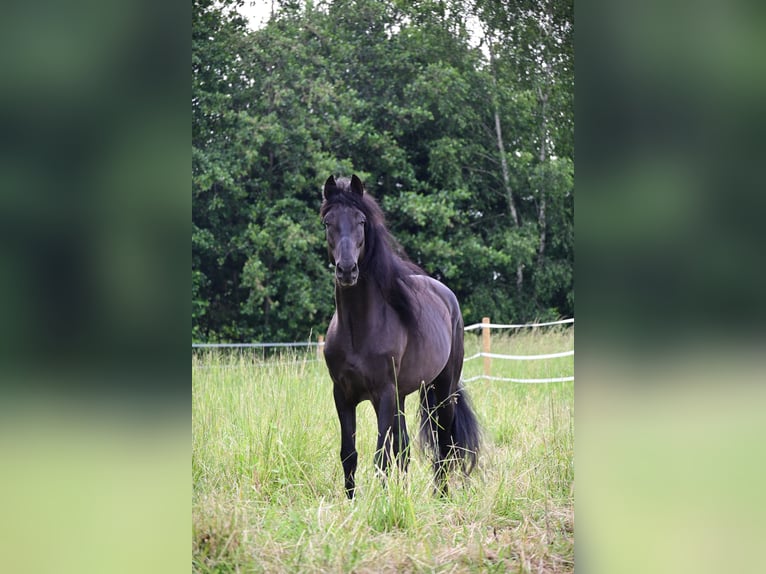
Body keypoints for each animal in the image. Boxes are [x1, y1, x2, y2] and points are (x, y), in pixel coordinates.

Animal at [320, 174, 480, 499]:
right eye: (328, 222)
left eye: (361, 221)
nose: (347, 270)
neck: (358, 331)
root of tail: (447, 295)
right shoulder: (343, 395)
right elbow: (350, 454)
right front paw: (354, 502)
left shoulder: (382, 395)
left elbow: (380, 455)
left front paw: (382, 503)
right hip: (403, 396)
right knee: (404, 447)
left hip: (442, 390)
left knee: (444, 442)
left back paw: (441, 495)